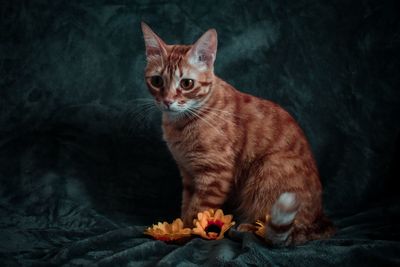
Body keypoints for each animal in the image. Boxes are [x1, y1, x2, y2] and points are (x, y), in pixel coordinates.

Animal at [141, 22, 334, 246]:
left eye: (186, 84)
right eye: (157, 81)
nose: (167, 101)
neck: (181, 124)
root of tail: (319, 219)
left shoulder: (215, 175)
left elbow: (198, 210)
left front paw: (187, 233)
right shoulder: (188, 174)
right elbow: (187, 205)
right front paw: (179, 228)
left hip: (268, 170)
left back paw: (248, 228)